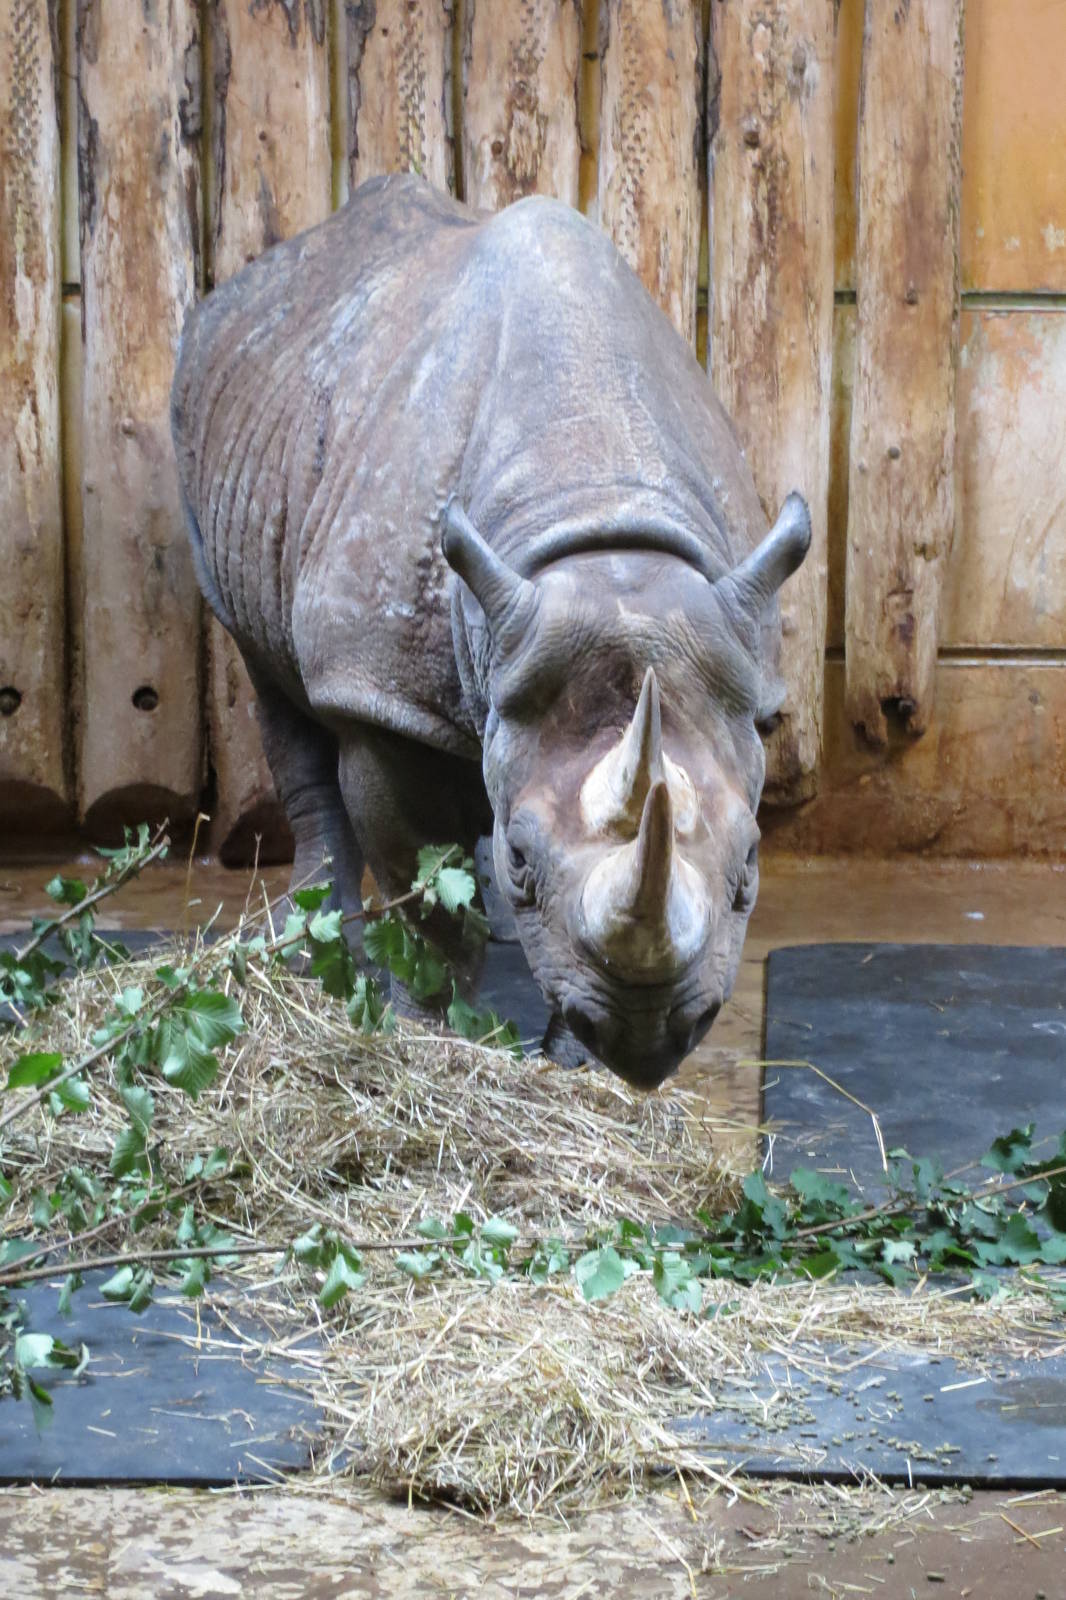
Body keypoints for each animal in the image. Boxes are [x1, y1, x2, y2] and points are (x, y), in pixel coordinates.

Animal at [171, 175, 809, 1089]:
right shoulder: (380, 693)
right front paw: (427, 1030)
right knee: (275, 685)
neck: (596, 518)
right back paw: (314, 954)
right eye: (521, 860)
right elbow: (423, 890)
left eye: (751, 866)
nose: (649, 1041)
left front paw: (579, 1066)